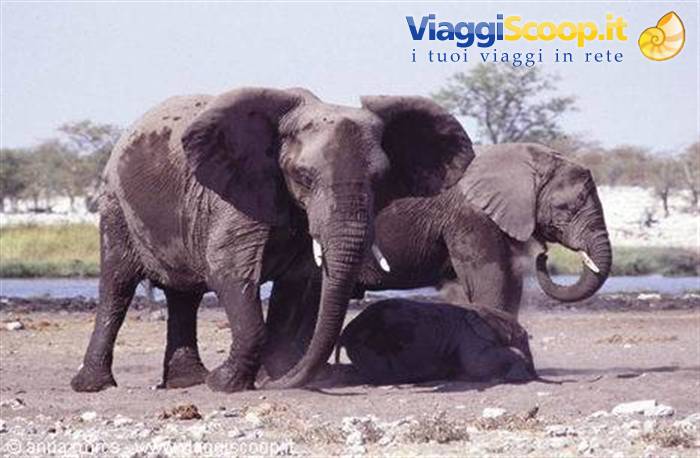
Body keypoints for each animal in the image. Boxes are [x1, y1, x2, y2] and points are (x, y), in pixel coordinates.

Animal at [69, 87, 475, 393]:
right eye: (304, 176)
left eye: (380, 179)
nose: (279, 383)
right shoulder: (235, 194)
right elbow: (229, 271)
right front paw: (227, 384)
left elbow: (298, 284)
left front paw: (272, 378)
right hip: (115, 204)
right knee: (117, 286)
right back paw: (94, 386)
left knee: (184, 295)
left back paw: (188, 383)